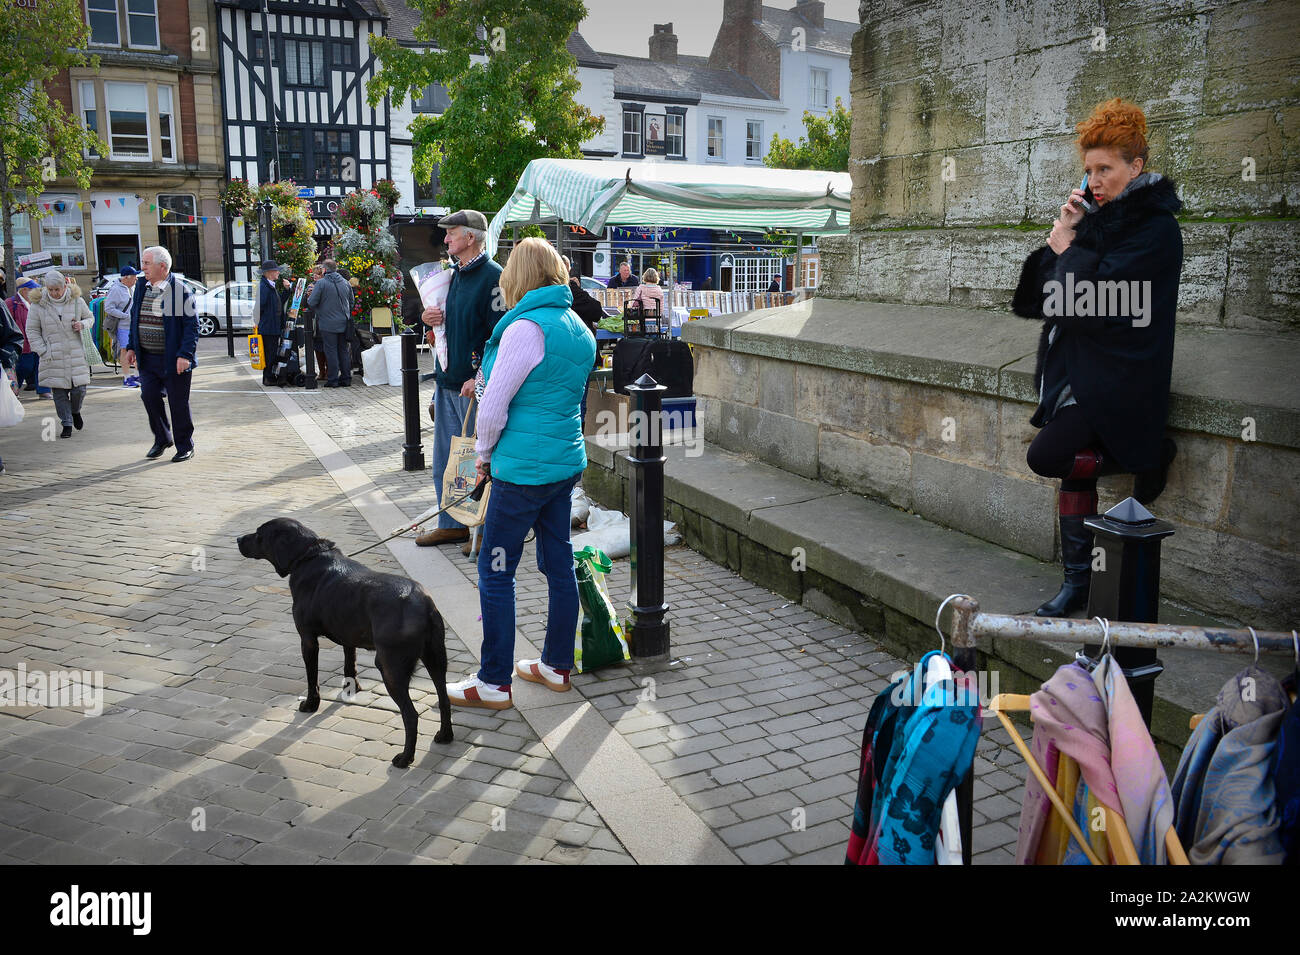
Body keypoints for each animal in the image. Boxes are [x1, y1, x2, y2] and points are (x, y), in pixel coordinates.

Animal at [236, 519, 454, 764]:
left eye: (259, 534)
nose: (238, 539)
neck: (309, 556)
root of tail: (423, 603)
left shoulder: (307, 640)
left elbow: (312, 678)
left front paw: (311, 704)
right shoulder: (349, 637)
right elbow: (350, 665)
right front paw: (352, 689)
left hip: (390, 668)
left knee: (411, 715)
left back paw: (405, 758)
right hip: (436, 659)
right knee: (444, 699)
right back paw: (445, 736)